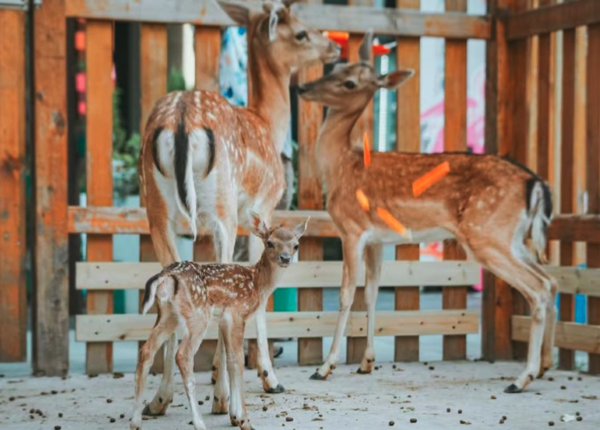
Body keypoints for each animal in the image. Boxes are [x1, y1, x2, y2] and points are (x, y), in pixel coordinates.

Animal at [131, 212, 310, 430]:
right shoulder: (238, 313)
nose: (285, 258)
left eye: (296, 245)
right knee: (183, 355)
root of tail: (167, 276)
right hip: (198, 315)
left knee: (146, 351)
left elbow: (231, 361)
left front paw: (236, 416)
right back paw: (199, 423)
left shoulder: (225, 320)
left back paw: (135, 422)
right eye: (270, 242)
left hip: (167, 314)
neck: (257, 284)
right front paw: (244, 421)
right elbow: (239, 361)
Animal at [138, 0, 340, 414]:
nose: (334, 48)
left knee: (169, 283)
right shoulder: (263, 205)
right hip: (222, 210)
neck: (268, 123)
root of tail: (179, 119)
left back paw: (159, 400)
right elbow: (258, 291)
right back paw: (220, 397)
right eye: (301, 32)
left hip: (156, 211)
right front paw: (268, 379)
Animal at [298, 33, 556, 394]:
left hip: (486, 233)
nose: (302, 88)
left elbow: (347, 294)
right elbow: (372, 292)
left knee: (540, 287)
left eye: (349, 82)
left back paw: (522, 378)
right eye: (336, 67)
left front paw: (325, 367)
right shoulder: (377, 239)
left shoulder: (351, 228)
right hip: (514, 237)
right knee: (552, 279)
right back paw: (544, 366)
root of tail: (535, 183)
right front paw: (366, 363)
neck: (340, 166)